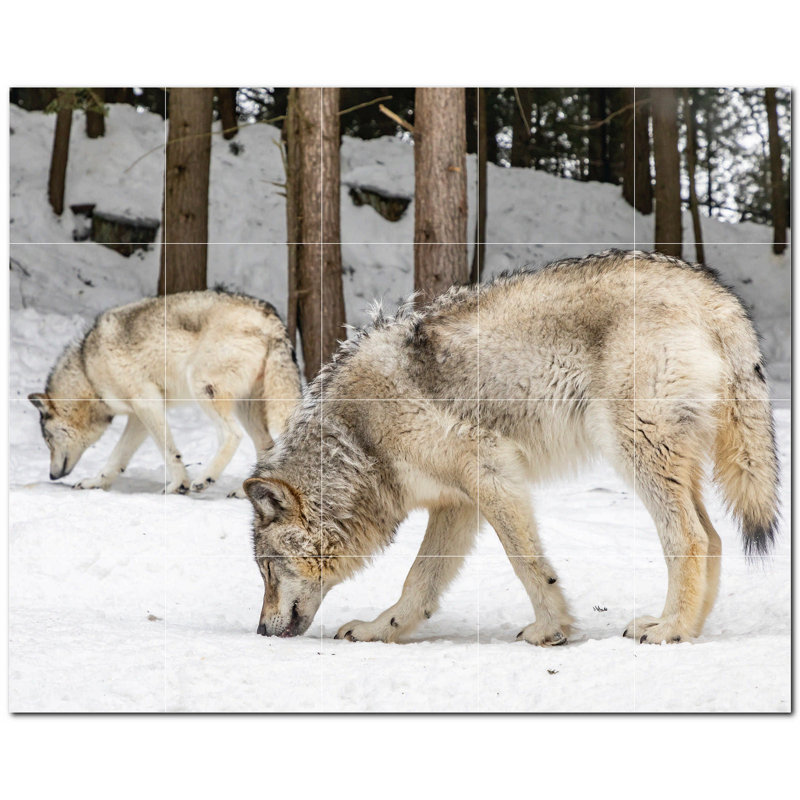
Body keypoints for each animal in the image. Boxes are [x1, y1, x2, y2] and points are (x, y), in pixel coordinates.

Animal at [29, 290, 301, 494]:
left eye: (47, 440)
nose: (51, 475)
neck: (88, 370)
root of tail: (271, 318)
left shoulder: (147, 403)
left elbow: (169, 451)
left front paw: (179, 485)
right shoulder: (138, 417)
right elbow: (117, 457)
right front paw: (95, 482)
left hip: (204, 390)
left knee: (232, 435)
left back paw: (205, 478)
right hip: (246, 407)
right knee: (267, 445)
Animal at [244, 250, 779, 645]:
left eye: (267, 570)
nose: (261, 630)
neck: (358, 440)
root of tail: (714, 293)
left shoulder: (492, 472)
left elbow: (526, 562)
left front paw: (551, 630)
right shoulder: (457, 503)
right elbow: (419, 581)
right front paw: (381, 629)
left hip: (636, 453)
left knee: (689, 538)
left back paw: (669, 629)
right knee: (713, 538)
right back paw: (688, 630)